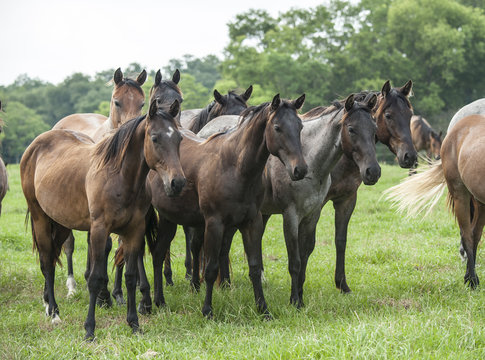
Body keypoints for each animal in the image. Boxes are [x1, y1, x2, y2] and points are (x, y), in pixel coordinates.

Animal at [20, 99, 185, 340]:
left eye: (179, 139)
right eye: (155, 138)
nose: (177, 183)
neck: (119, 177)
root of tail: (35, 146)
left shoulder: (134, 231)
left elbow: (131, 277)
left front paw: (134, 323)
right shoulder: (99, 230)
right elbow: (95, 278)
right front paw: (89, 329)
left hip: (61, 224)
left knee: (51, 257)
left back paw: (48, 305)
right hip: (40, 218)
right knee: (47, 263)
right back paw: (55, 313)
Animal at [146, 94, 308, 316]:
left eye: (300, 126)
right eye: (277, 127)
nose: (300, 169)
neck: (235, 167)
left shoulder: (251, 223)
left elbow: (254, 267)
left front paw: (263, 309)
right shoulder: (215, 223)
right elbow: (211, 268)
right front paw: (207, 310)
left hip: (171, 220)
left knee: (160, 254)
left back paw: (163, 299)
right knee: (158, 253)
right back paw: (157, 299)